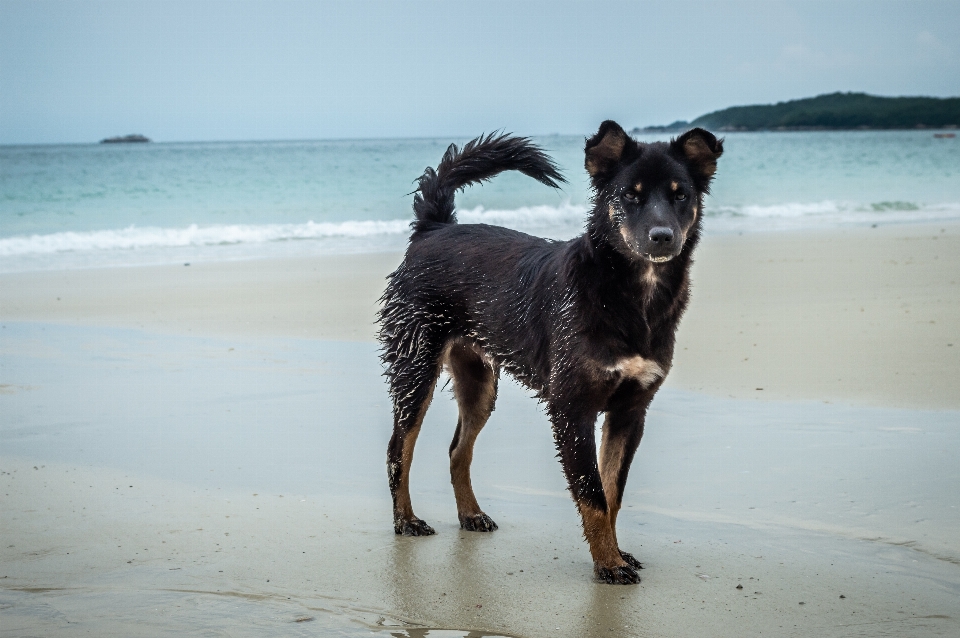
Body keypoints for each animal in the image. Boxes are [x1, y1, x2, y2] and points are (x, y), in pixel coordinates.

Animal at [376, 121, 720, 584]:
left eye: (680, 195)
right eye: (630, 195)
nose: (663, 237)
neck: (627, 295)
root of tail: (434, 228)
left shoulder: (630, 412)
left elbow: (612, 493)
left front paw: (617, 553)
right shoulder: (572, 409)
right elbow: (593, 494)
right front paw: (608, 563)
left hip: (479, 385)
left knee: (457, 451)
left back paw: (470, 514)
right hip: (415, 369)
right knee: (399, 448)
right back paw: (406, 520)